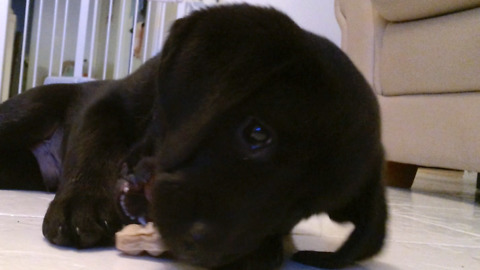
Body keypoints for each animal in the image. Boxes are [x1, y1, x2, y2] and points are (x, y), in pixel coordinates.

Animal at [0, 4, 386, 270]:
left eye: (304, 208)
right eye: (257, 132)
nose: (206, 251)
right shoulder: (107, 104)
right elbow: (96, 145)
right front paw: (84, 202)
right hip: (29, 111)